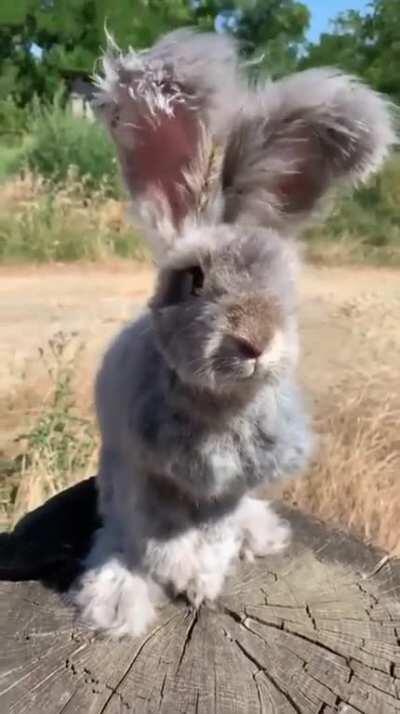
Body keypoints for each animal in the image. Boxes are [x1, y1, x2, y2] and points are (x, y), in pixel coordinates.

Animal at [70, 29, 396, 638]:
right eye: (194, 279)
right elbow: (154, 537)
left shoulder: (229, 487)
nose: (255, 342)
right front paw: (173, 577)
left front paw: (201, 582)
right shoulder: (144, 475)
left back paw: (258, 536)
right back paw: (117, 596)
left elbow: (214, 534)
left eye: (284, 281)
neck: (218, 406)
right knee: (119, 533)